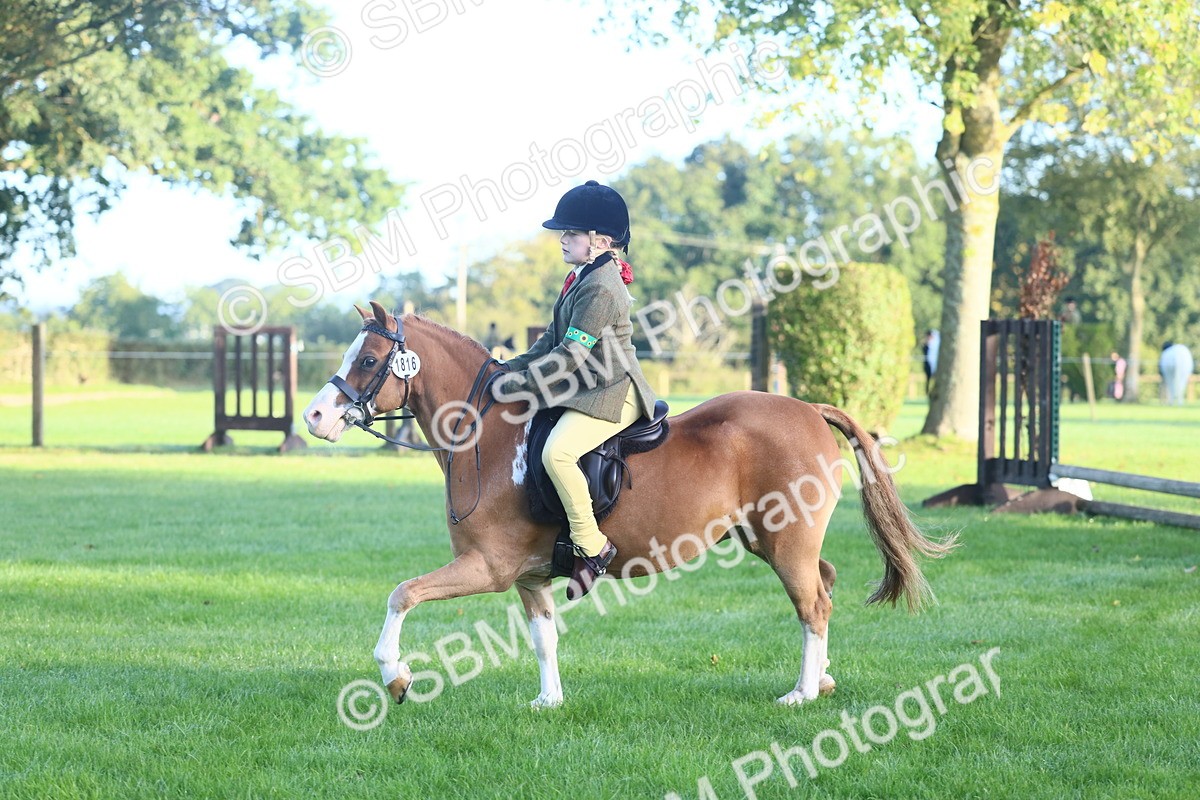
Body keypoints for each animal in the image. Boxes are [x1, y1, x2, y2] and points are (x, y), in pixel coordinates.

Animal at [303, 302, 956, 708]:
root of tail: (809, 409)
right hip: (769, 538)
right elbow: (544, 637)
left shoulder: (486, 568)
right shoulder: (528, 576)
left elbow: (402, 595)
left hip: (786, 541)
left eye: (368, 360)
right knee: (826, 583)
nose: (314, 417)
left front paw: (395, 678)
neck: (488, 435)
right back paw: (822, 681)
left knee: (813, 604)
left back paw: (799, 692)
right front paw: (548, 700)